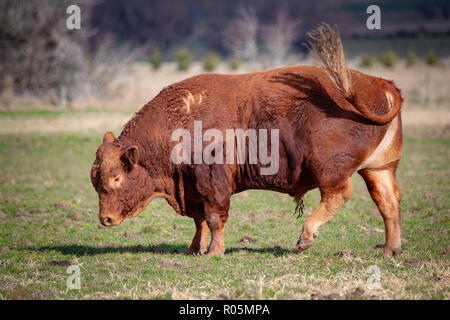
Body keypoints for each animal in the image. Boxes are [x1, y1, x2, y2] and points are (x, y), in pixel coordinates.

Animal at [90, 24, 404, 258]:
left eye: (117, 178)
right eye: (95, 179)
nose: (105, 219)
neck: (180, 120)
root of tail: (380, 83)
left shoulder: (212, 181)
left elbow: (214, 216)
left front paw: (215, 252)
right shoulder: (192, 187)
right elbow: (199, 219)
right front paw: (194, 249)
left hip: (329, 169)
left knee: (340, 194)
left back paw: (305, 237)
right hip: (377, 169)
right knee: (388, 201)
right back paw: (391, 250)